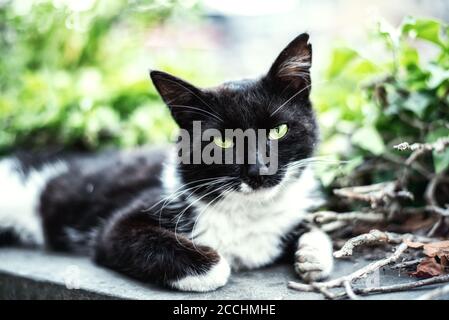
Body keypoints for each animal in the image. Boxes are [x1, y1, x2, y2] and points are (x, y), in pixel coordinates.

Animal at [0, 33, 332, 292]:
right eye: (222, 141)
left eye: (278, 131)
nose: (258, 170)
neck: (250, 211)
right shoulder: (118, 226)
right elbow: (206, 261)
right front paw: (215, 263)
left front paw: (312, 253)